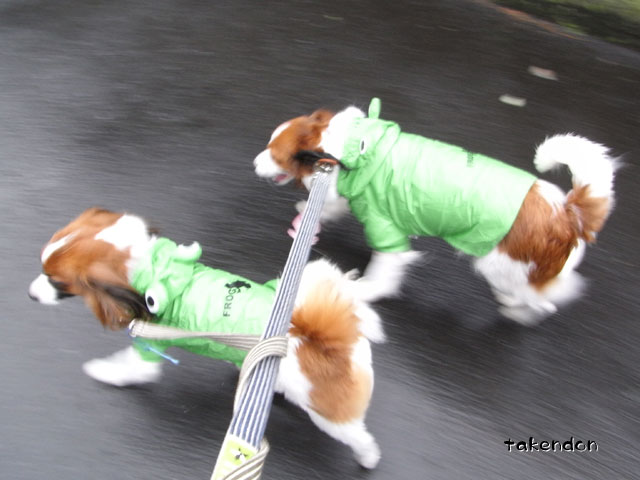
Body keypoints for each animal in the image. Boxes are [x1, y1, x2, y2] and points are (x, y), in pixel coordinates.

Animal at [28, 207, 385, 468]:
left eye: (57, 282)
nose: (31, 294)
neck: (151, 270)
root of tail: (334, 342)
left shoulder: (150, 347)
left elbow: (128, 369)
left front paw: (102, 371)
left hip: (330, 416)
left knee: (360, 437)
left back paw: (368, 458)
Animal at [253, 98, 618, 324]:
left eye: (273, 152)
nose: (253, 163)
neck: (348, 151)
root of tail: (567, 211)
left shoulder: (387, 233)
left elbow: (382, 275)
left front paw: (361, 290)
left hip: (498, 264)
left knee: (543, 299)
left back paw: (517, 307)